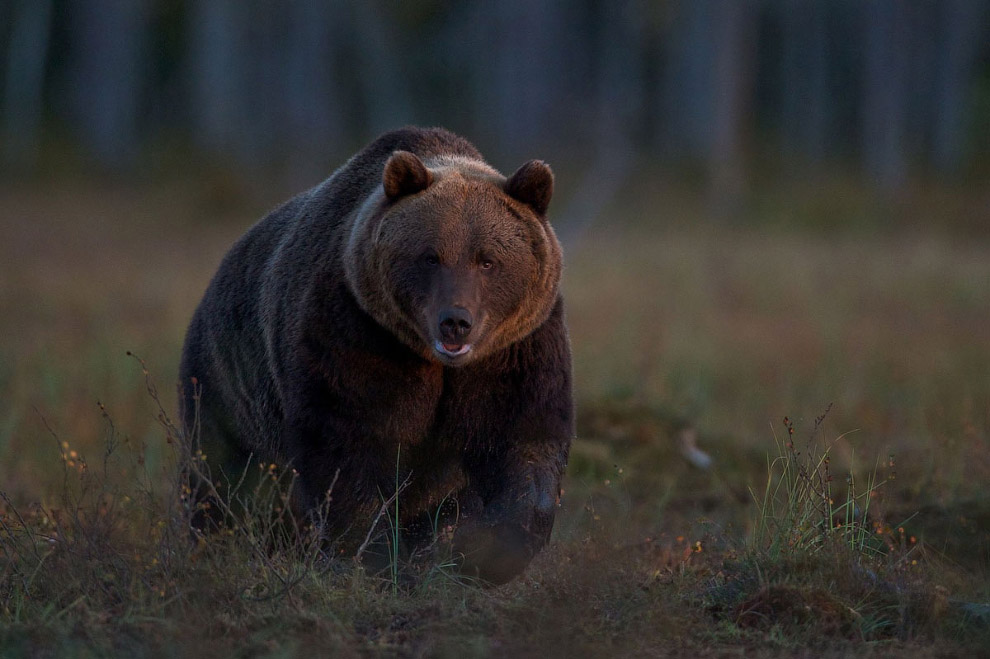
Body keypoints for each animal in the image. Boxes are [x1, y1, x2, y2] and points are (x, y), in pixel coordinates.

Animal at [182, 126, 576, 584]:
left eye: (487, 260)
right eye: (431, 256)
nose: (455, 321)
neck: (439, 362)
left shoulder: (515, 349)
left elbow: (523, 442)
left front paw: (476, 550)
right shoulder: (357, 333)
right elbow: (351, 446)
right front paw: (369, 555)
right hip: (227, 383)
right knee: (223, 477)